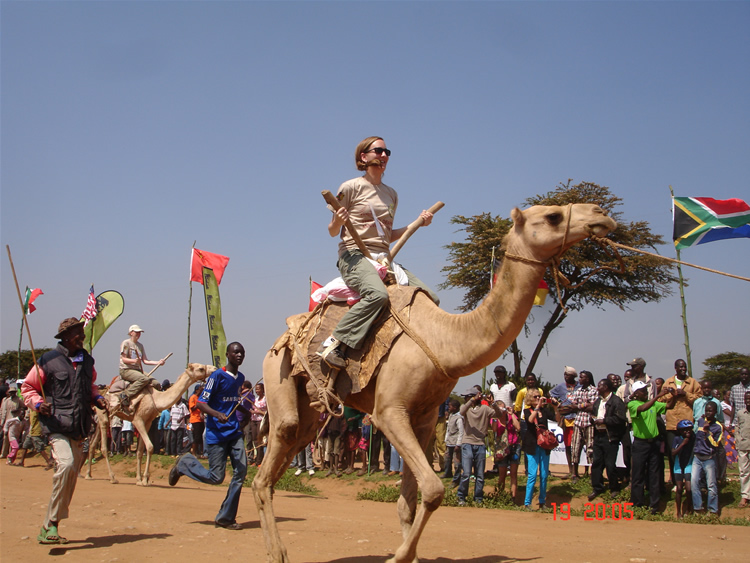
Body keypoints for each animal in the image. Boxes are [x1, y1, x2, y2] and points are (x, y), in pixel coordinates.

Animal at [85, 364, 214, 486]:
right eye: (201, 368)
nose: (213, 368)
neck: (156, 399)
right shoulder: (138, 420)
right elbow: (150, 447)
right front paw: (145, 479)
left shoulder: (147, 422)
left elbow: (140, 451)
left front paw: (139, 479)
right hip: (103, 415)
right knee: (103, 446)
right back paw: (112, 477)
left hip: (102, 417)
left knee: (92, 444)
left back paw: (88, 474)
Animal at [253, 204, 616, 563]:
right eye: (553, 216)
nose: (601, 214)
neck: (446, 342)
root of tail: (285, 333)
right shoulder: (389, 412)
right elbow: (433, 489)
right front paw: (399, 556)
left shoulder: (425, 417)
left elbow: (410, 501)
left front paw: (407, 553)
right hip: (277, 371)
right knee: (274, 452)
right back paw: (277, 552)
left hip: (310, 412)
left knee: (283, 456)